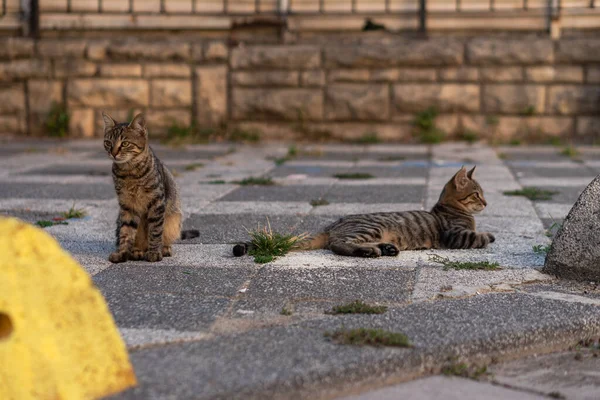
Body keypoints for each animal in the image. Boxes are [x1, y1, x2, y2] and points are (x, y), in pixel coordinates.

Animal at [102, 112, 198, 262]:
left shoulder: (157, 202)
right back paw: (136, 251)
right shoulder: (127, 205)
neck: (129, 172)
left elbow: (155, 230)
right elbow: (126, 232)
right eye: (108, 143)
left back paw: (163, 249)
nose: (113, 153)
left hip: (174, 218)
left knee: (165, 236)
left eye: (125, 144)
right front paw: (122, 253)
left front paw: (154, 252)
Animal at [232, 166, 494, 258]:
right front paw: (488, 236)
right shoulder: (456, 235)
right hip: (368, 229)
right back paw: (372, 252)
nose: (487, 203)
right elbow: (480, 237)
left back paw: (386, 249)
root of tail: (334, 223)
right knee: (339, 245)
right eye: (476, 194)